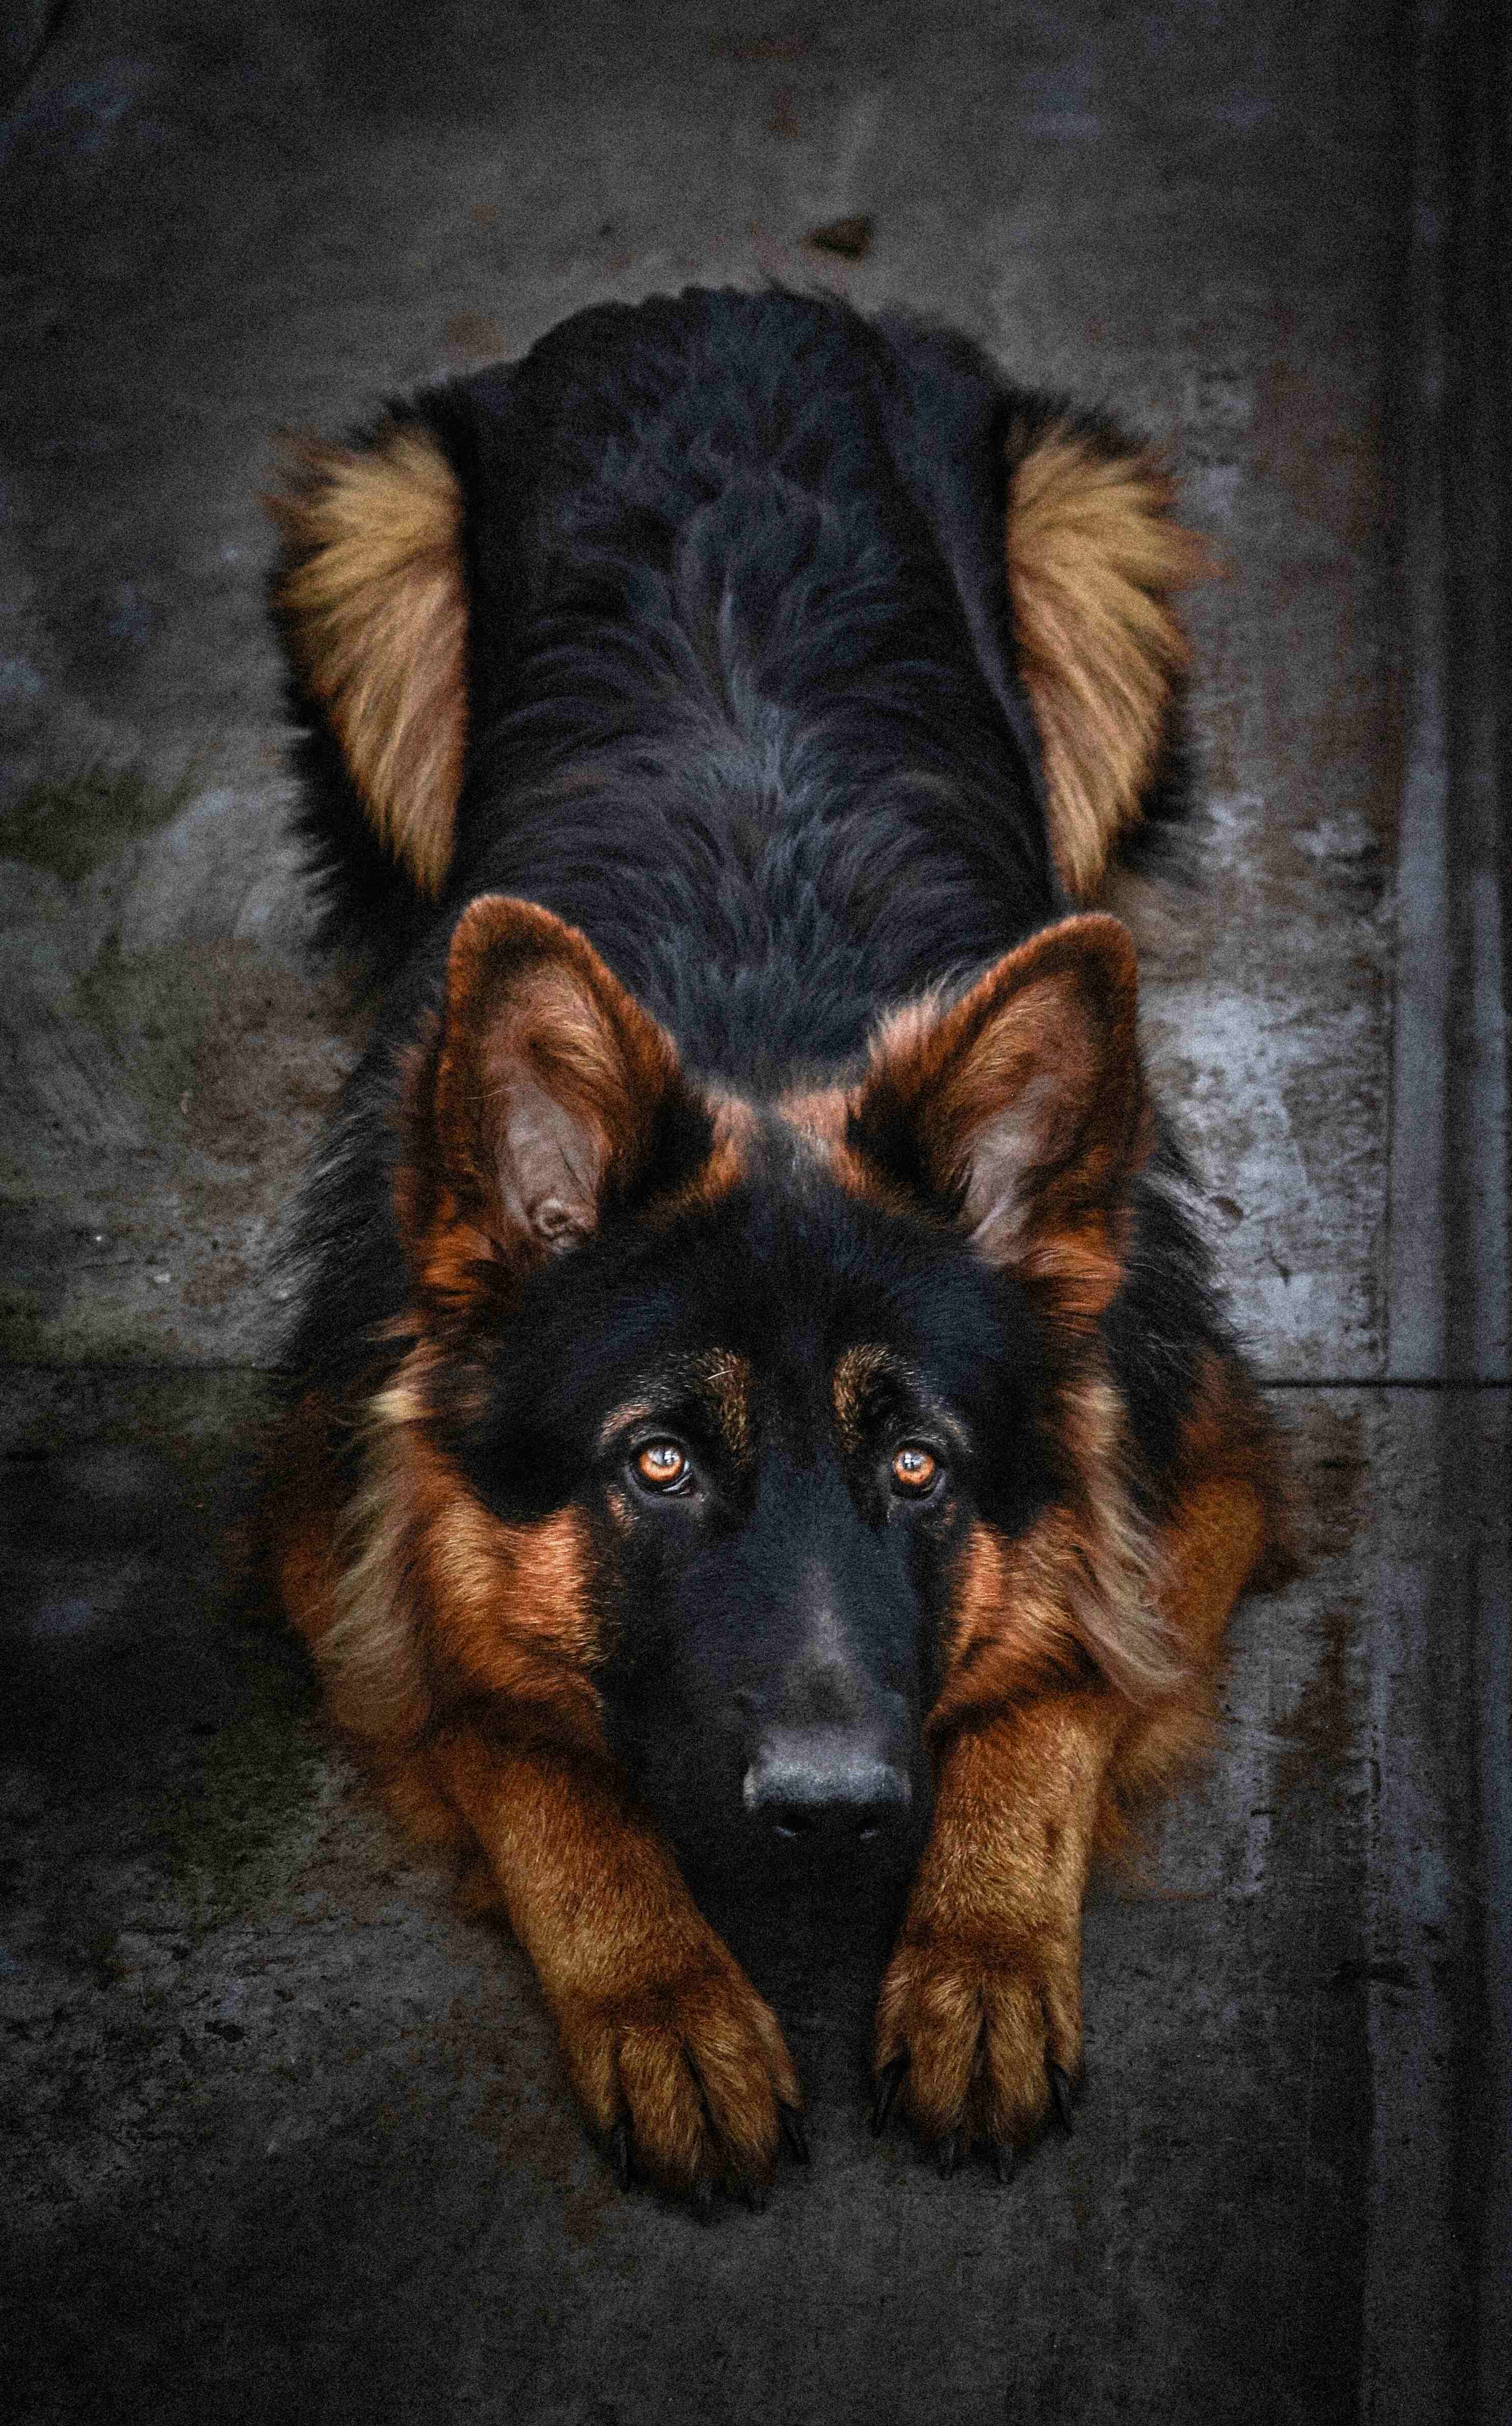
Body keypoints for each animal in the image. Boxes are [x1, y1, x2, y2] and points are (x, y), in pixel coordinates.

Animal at [263, 283, 1291, 2203]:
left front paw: (976, 1946)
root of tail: (716, 304)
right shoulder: (337, 1527)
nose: (828, 1817)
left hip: (1087, 544)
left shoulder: (1185, 1471)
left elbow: (1056, 1678)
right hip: (369, 545)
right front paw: (664, 1989)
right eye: (657, 1463)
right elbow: (523, 1740)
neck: (756, 1021)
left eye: (917, 1464)